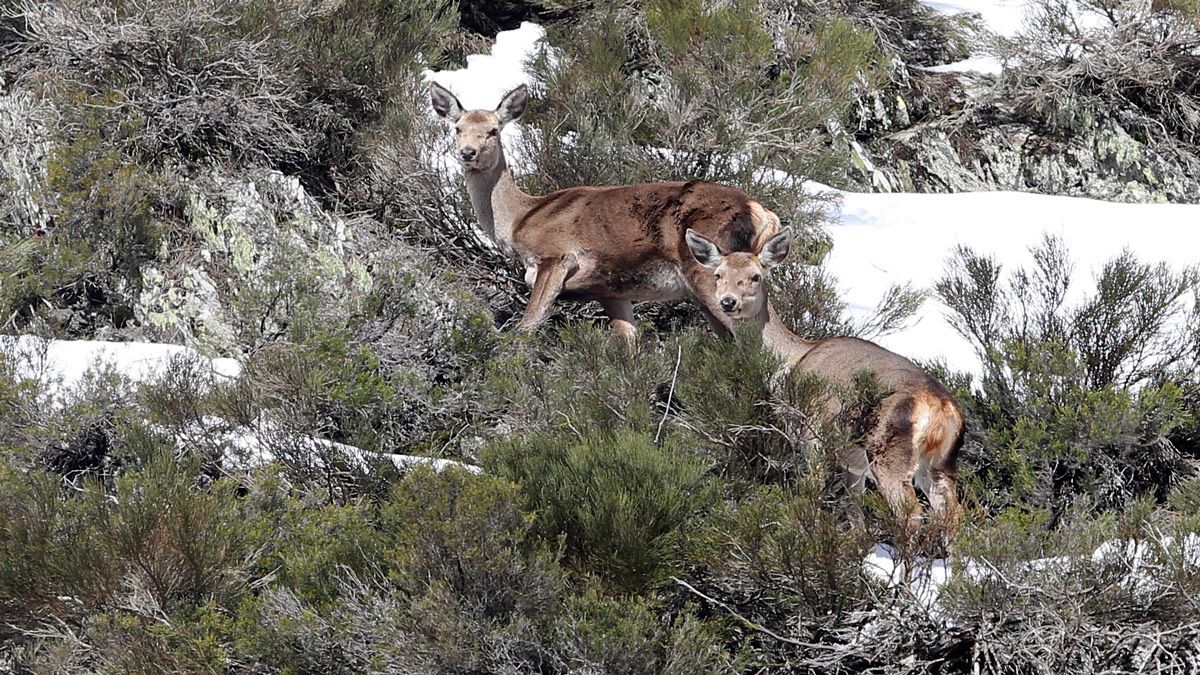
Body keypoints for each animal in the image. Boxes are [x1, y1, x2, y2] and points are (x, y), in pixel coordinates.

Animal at [432, 79, 787, 341]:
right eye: (457, 128)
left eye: (493, 130)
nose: (468, 152)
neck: (519, 220)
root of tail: (762, 214)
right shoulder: (612, 290)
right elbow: (629, 346)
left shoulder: (555, 256)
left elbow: (528, 325)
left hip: (711, 273)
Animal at [686, 228, 964, 533]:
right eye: (718, 274)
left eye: (756, 276)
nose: (728, 301)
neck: (790, 363)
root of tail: (941, 409)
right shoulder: (853, 462)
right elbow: (855, 514)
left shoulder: (812, 436)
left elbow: (813, 494)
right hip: (940, 463)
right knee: (952, 513)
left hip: (889, 452)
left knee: (911, 513)